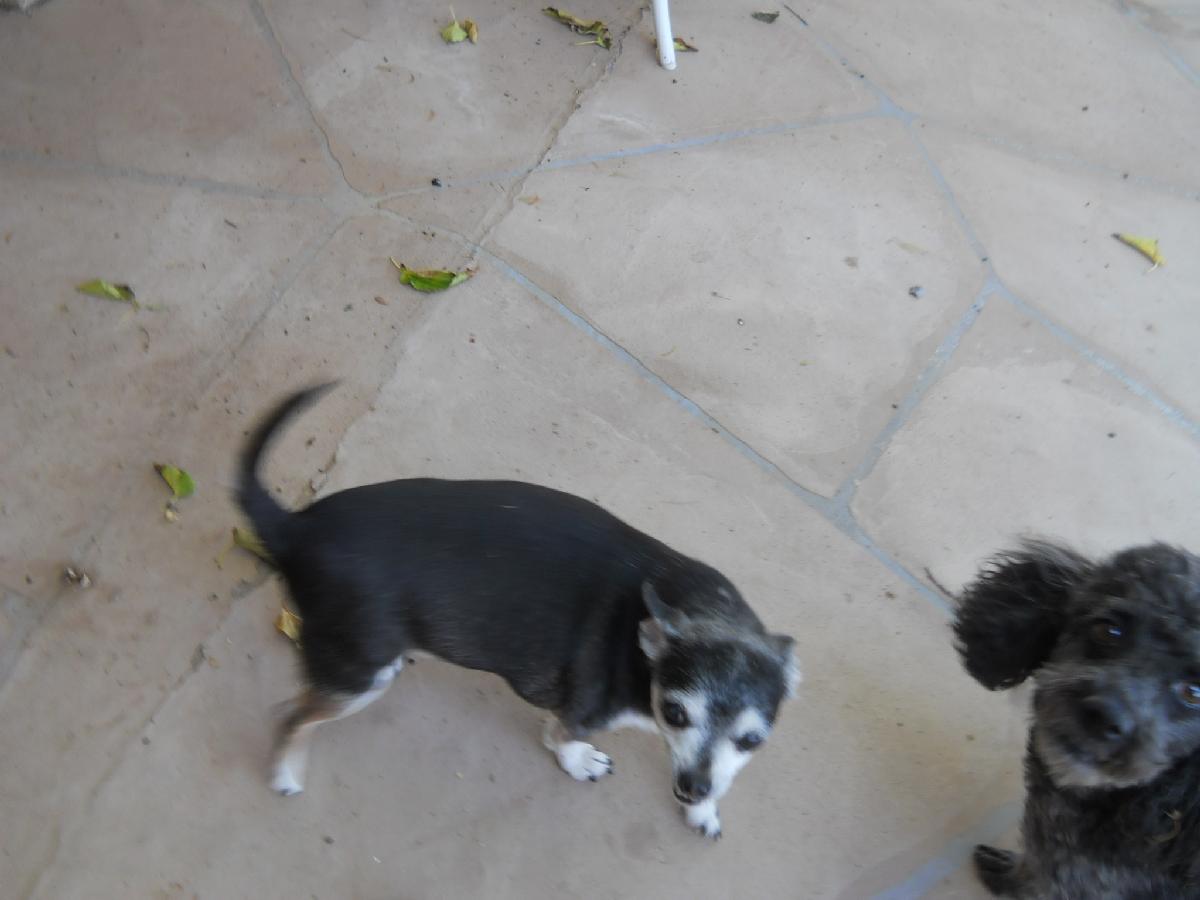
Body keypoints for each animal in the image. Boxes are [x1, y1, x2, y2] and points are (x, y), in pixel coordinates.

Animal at [238, 384, 800, 839]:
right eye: (676, 712)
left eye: (752, 740)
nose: (691, 790)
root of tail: (295, 529)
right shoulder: (579, 715)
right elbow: (563, 738)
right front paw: (579, 762)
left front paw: (704, 812)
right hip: (360, 676)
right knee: (292, 714)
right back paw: (285, 773)